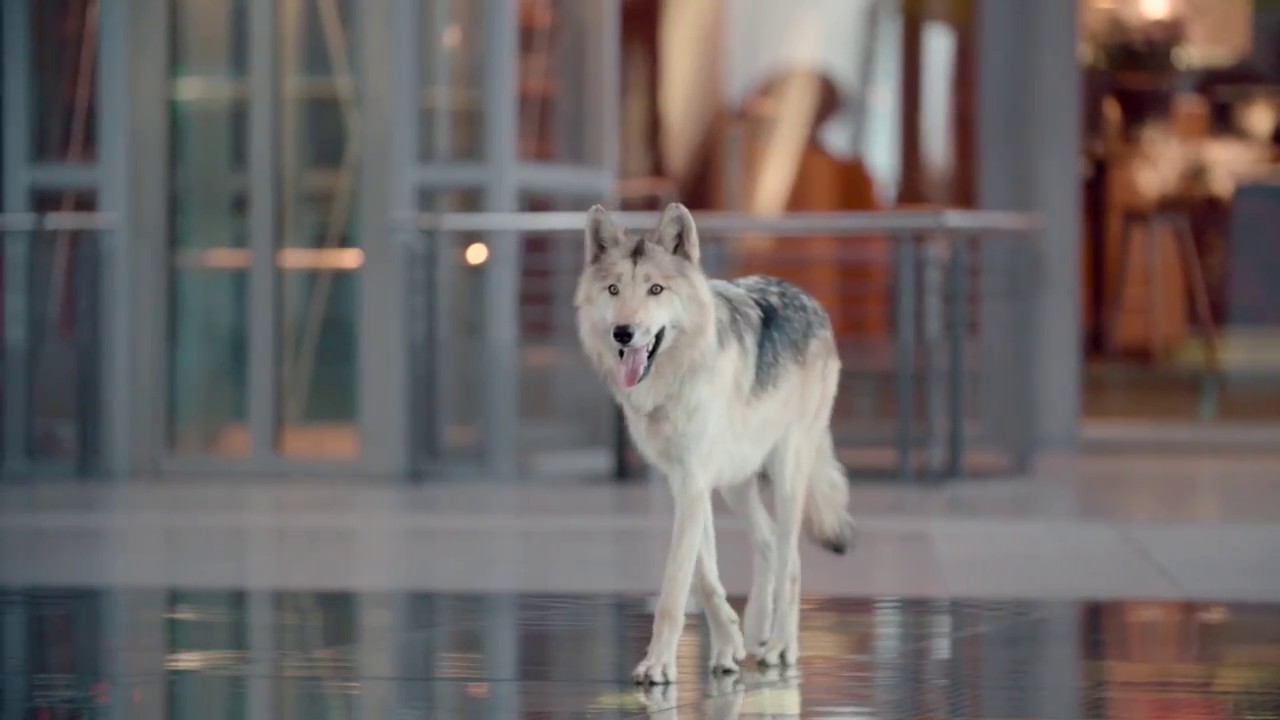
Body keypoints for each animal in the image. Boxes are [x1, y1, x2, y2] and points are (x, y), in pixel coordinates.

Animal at [575, 202, 855, 685]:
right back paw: (757, 630)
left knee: (791, 560)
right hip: (734, 484)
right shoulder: (687, 481)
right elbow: (704, 578)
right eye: (613, 289)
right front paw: (728, 644)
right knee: (768, 543)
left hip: (786, 472)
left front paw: (658, 665)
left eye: (656, 289)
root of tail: (806, 297)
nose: (623, 332)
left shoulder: (693, 482)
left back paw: (780, 646)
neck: (674, 379)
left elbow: (674, 587)